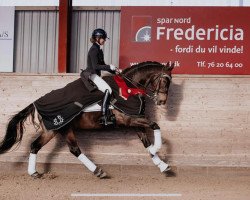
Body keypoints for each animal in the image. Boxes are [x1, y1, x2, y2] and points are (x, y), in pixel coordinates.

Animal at [0, 61, 175, 178]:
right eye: (165, 80)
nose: (161, 101)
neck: (129, 88)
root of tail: (37, 103)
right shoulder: (129, 119)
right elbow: (155, 125)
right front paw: (157, 149)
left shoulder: (135, 122)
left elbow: (147, 142)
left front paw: (162, 165)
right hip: (56, 128)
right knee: (54, 147)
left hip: (60, 129)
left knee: (53, 147)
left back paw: (36, 173)